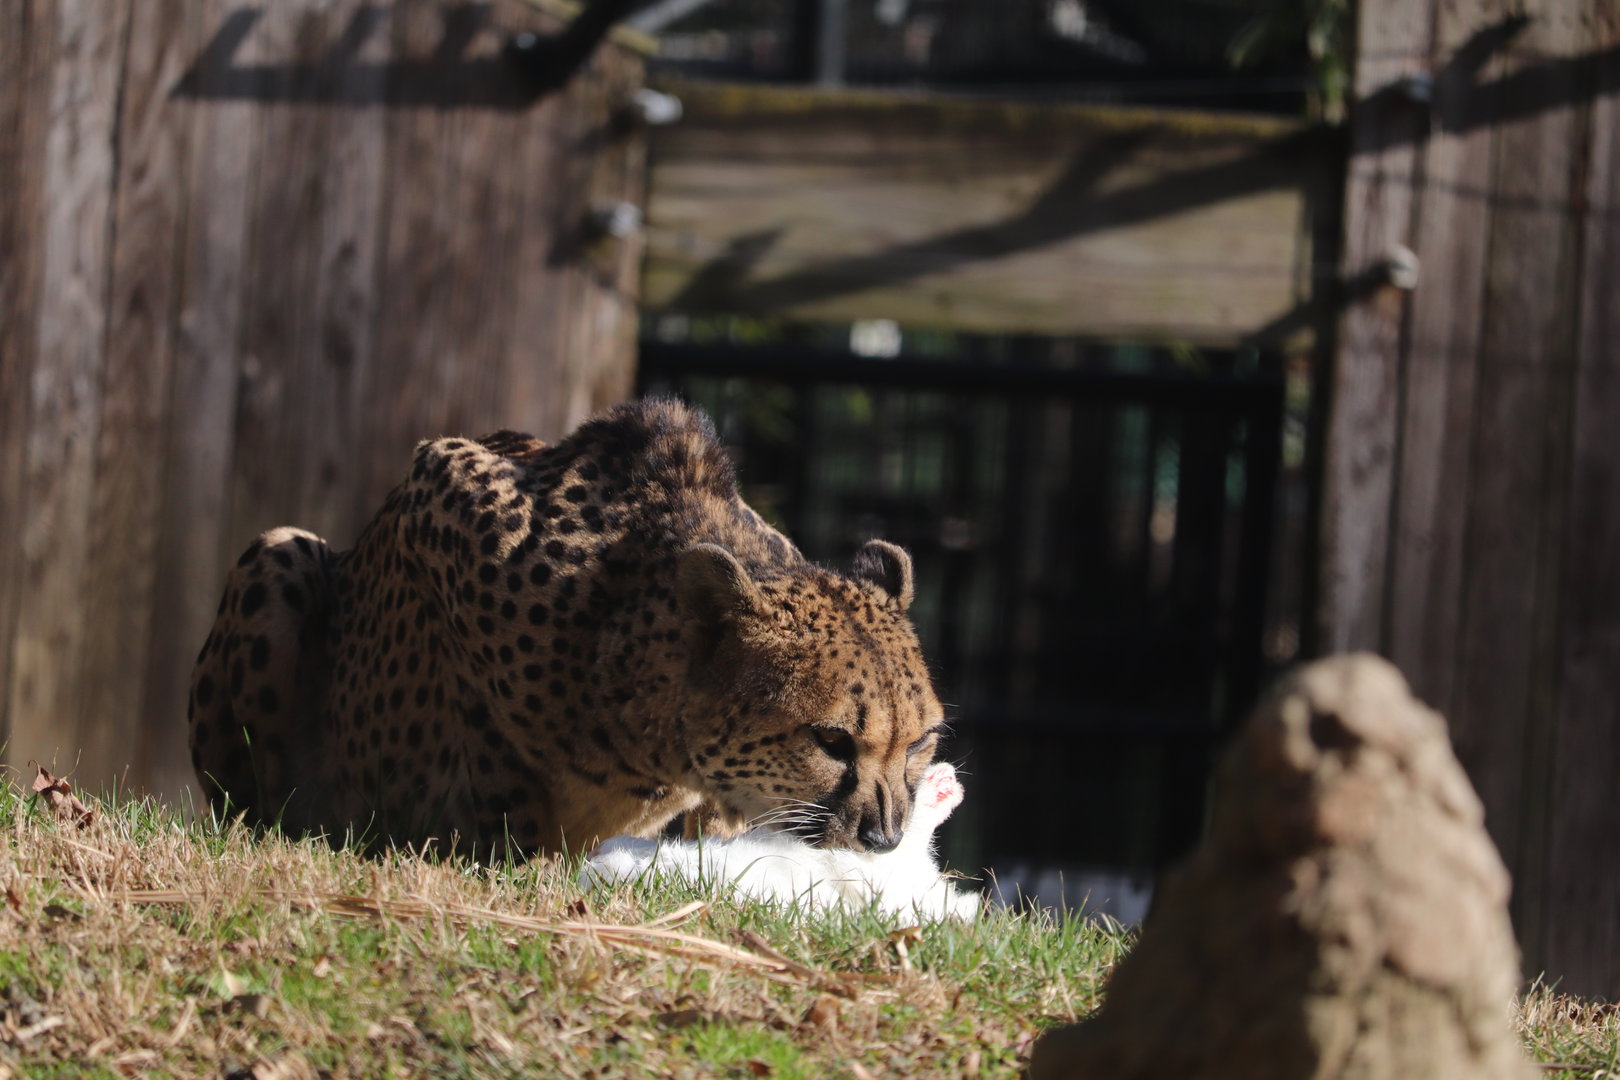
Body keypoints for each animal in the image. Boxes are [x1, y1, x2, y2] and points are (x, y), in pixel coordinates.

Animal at [187, 399, 946, 858]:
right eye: (832, 740)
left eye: (919, 742)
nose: (884, 838)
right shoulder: (438, 490)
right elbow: (489, 731)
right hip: (278, 555)